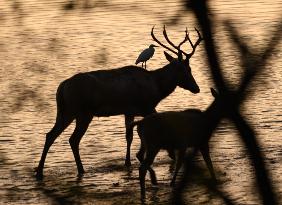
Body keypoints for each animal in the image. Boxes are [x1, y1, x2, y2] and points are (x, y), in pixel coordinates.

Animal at [35, 26, 203, 178]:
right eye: (186, 69)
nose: (197, 88)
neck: (156, 87)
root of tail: (62, 87)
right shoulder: (147, 106)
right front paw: (171, 155)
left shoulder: (129, 111)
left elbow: (129, 136)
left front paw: (127, 162)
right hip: (83, 112)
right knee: (73, 139)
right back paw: (80, 169)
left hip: (65, 112)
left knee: (50, 135)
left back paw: (40, 170)